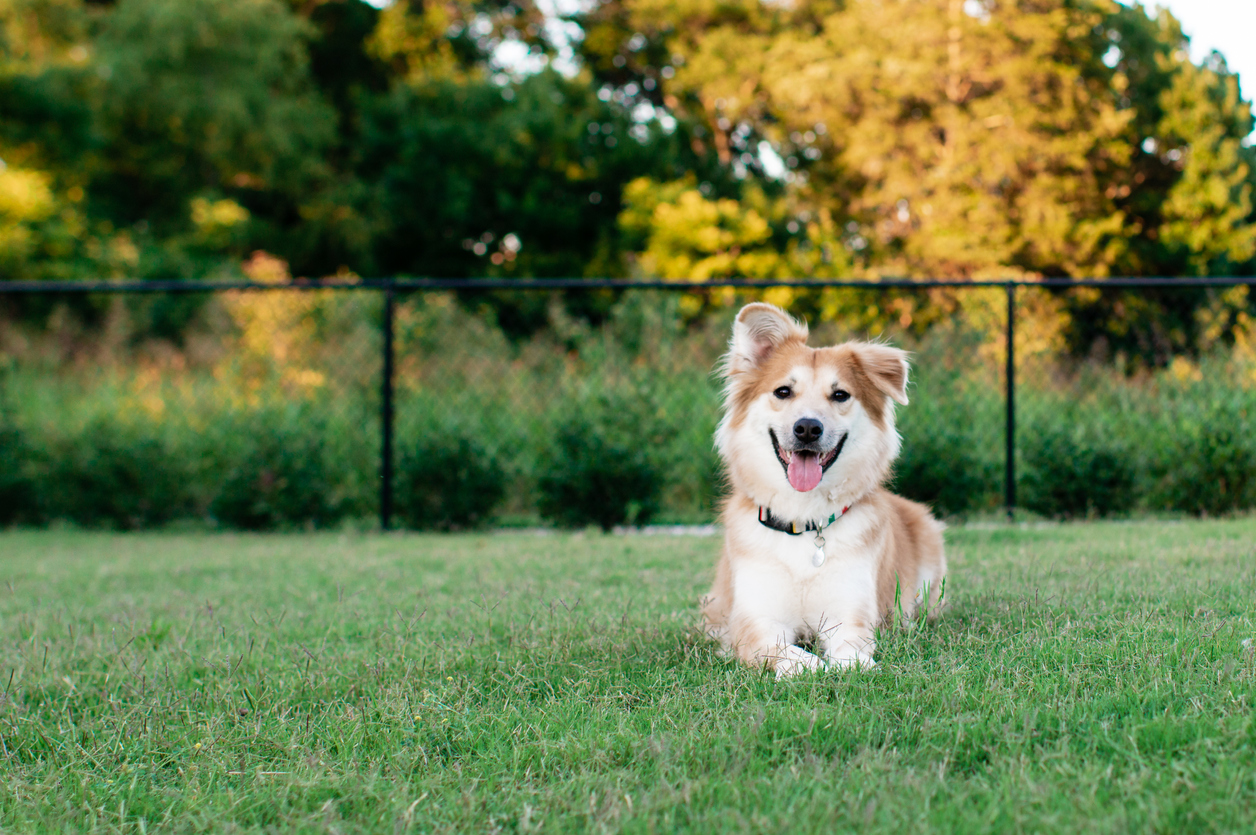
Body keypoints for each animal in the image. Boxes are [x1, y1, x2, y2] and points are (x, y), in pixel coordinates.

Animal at [698, 302, 944, 673]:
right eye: (783, 391)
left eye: (840, 395)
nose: (807, 428)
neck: (803, 520)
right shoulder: (755, 622)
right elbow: (786, 652)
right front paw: (809, 667)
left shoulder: (850, 612)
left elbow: (851, 652)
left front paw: (850, 666)